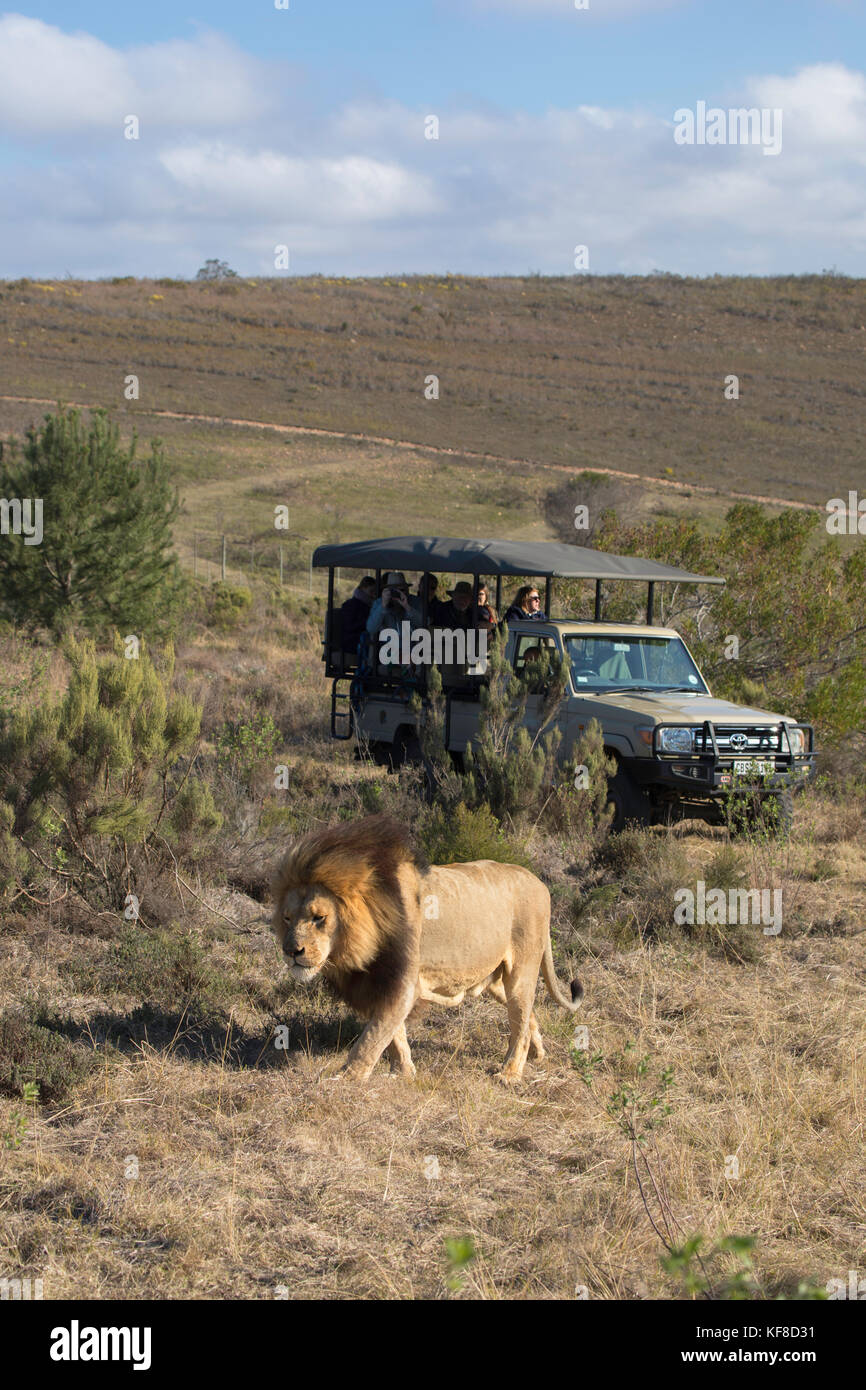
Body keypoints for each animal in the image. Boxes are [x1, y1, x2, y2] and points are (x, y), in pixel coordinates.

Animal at [271, 811, 583, 1084]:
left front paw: (342, 1082)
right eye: (287, 919)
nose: (291, 952)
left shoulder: (403, 981)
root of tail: (541, 883)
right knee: (528, 1015)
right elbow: (392, 1035)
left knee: (519, 1020)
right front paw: (403, 1072)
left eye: (319, 917)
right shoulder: (382, 984)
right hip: (496, 980)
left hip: (521, 971)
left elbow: (371, 1039)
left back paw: (510, 1074)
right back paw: (538, 1054)